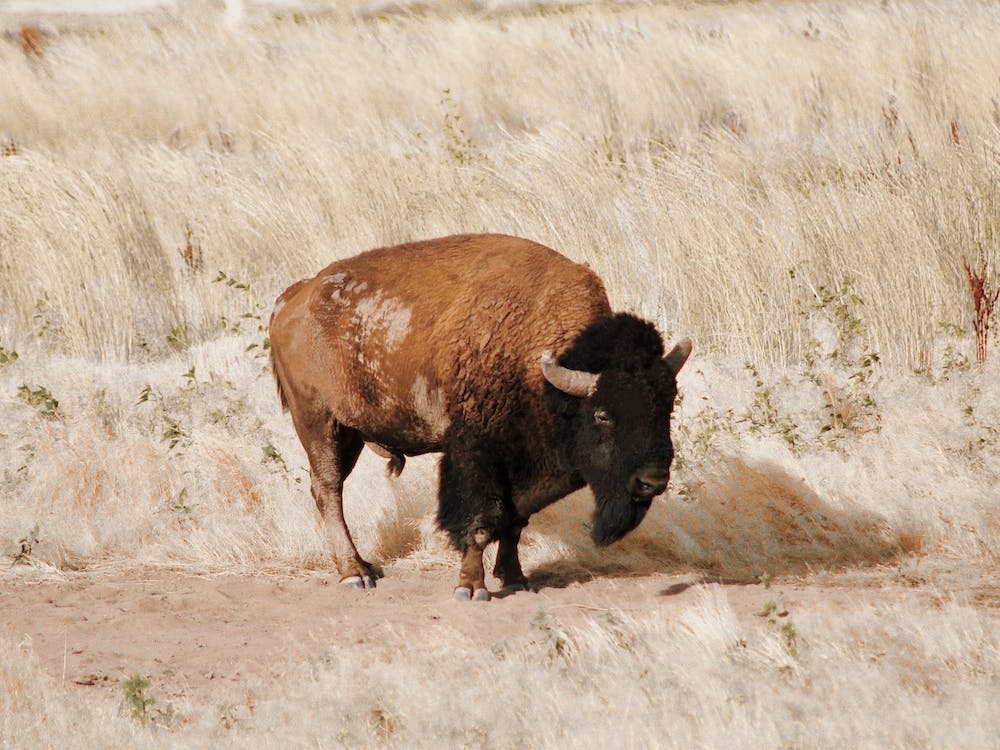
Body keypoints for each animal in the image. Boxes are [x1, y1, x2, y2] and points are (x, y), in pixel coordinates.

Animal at [269, 234, 690, 600]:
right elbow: (483, 519)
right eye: (602, 414)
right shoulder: (477, 458)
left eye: (667, 406)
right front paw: (471, 588)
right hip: (319, 423)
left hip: (351, 433)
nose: (652, 481)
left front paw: (516, 578)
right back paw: (354, 573)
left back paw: (366, 566)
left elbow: (516, 520)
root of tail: (294, 297)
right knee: (328, 489)